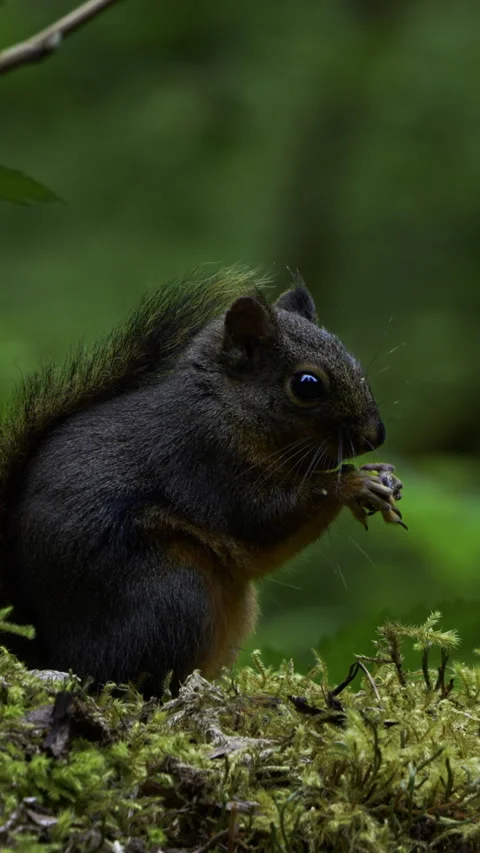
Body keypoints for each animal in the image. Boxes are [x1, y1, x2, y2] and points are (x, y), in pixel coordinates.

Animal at [0, 266, 405, 697]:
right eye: (307, 384)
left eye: (354, 361)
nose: (375, 435)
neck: (229, 407)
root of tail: (50, 647)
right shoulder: (206, 462)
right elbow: (266, 518)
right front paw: (355, 484)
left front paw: (384, 475)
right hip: (172, 591)